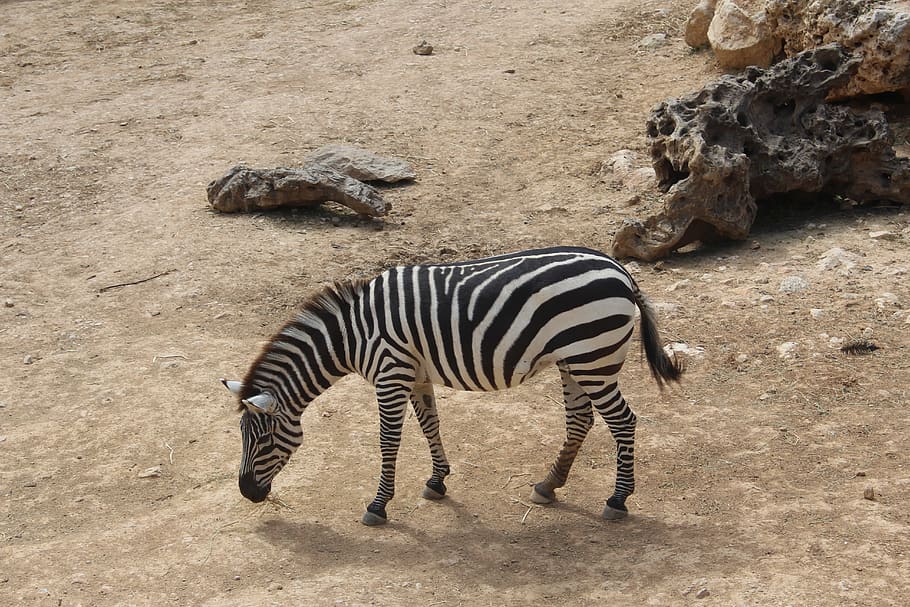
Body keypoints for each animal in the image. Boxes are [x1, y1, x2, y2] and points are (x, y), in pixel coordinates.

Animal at [221, 245, 684, 524]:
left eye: (263, 441)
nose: (246, 493)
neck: (353, 335)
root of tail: (620, 270)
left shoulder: (390, 373)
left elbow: (389, 441)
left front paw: (379, 505)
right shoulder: (415, 373)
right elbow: (431, 425)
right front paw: (437, 481)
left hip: (594, 358)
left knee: (623, 421)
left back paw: (617, 500)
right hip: (575, 361)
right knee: (580, 419)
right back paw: (548, 485)